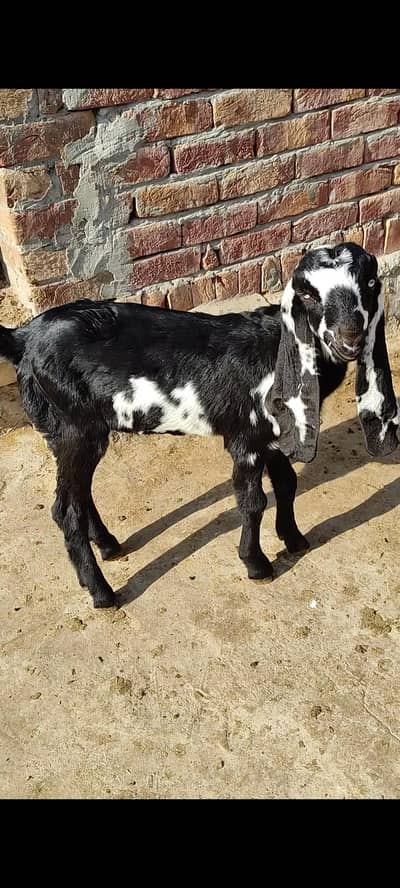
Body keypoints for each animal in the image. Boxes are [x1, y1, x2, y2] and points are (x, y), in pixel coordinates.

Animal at [1, 242, 398, 608]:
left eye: (370, 282)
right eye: (308, 295)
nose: (350, 338)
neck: (276, 351)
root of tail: (23, 337)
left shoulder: (270, 436)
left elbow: (287, 484)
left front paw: (294, 539)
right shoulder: (245, 438)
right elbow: (253, 501)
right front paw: (256, 564)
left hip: (64, 429)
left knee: (79, 494)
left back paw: (109, 545)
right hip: (76, 427)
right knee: (65, 510)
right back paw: (102, 592)